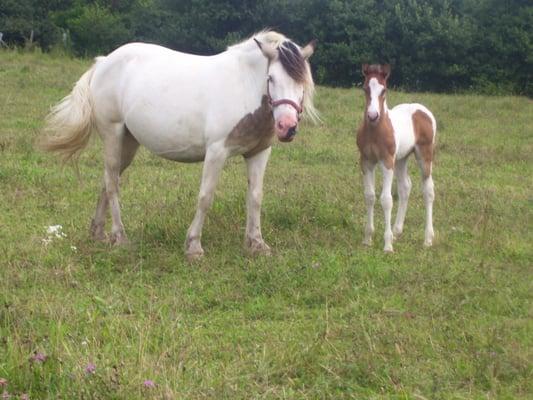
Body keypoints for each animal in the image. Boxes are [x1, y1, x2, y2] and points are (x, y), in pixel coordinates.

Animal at [42, 32, 316, 260]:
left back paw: (98, 233)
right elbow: (205, 197)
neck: (244, 84)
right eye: (271, 78)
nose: (287, 127)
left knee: (107, 180)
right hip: (112, 134)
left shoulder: (258, 153)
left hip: (128, 143)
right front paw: (193, 246)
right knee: (112, 184)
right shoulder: (217, 152)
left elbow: (256, 197)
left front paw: (257, 244)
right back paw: (119, 237)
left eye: (302, 83)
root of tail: (103, 62)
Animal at [356, 64, 434, 252]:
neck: (375, 131)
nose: (373, 115)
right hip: (401, 159)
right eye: (365, 88)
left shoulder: (386, 161)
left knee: (428, 190)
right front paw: (368, 238)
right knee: (405, 187)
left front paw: (387, 245)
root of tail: (423, 110)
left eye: (384, 89)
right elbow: (369, 196)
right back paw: (397, 231)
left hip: (424, 155)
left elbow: (386, 199)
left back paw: (428, 239)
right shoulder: (366, 162)